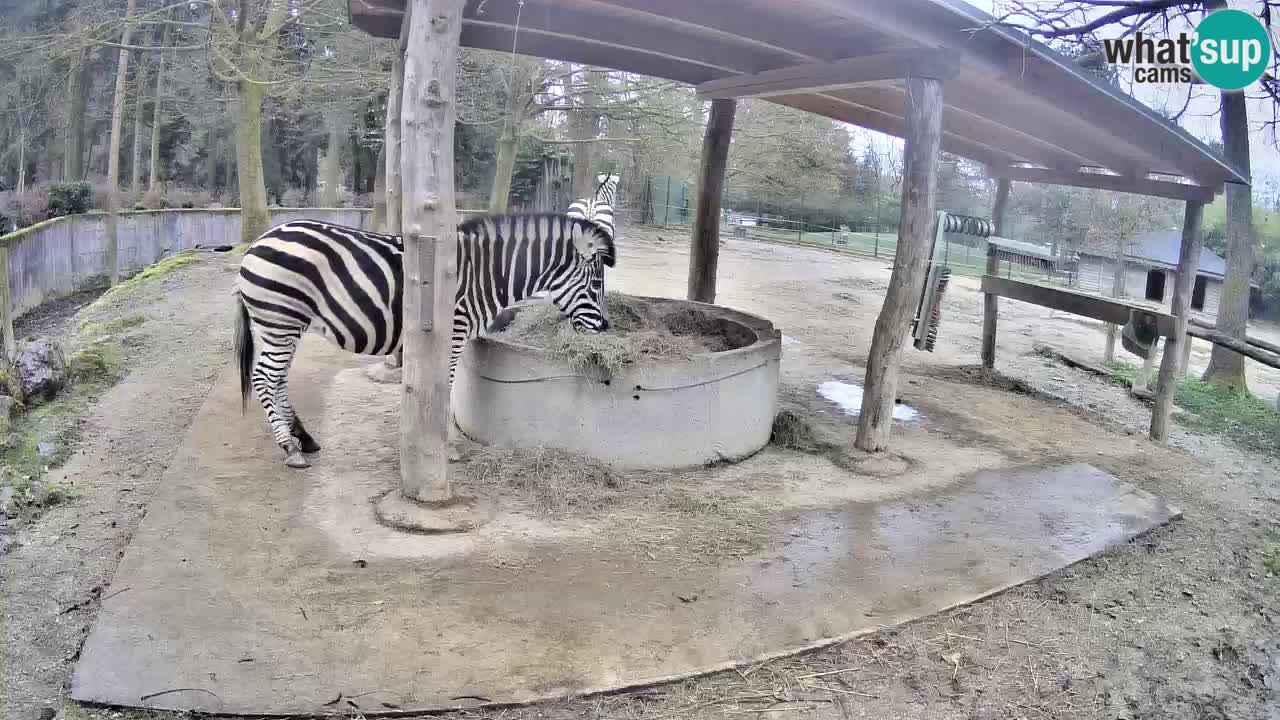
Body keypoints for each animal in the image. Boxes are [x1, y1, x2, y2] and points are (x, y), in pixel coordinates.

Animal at [233, 213, 616, 469]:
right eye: (597, 284)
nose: (605, 328)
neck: (485, 274)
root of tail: (258, 242)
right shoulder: (454, 333)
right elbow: (445, 388)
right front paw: (449, 448)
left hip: (281, 325)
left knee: (278, 379)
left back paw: (304, 438)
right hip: (281, 320)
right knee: (264, 378)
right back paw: (289, 448)